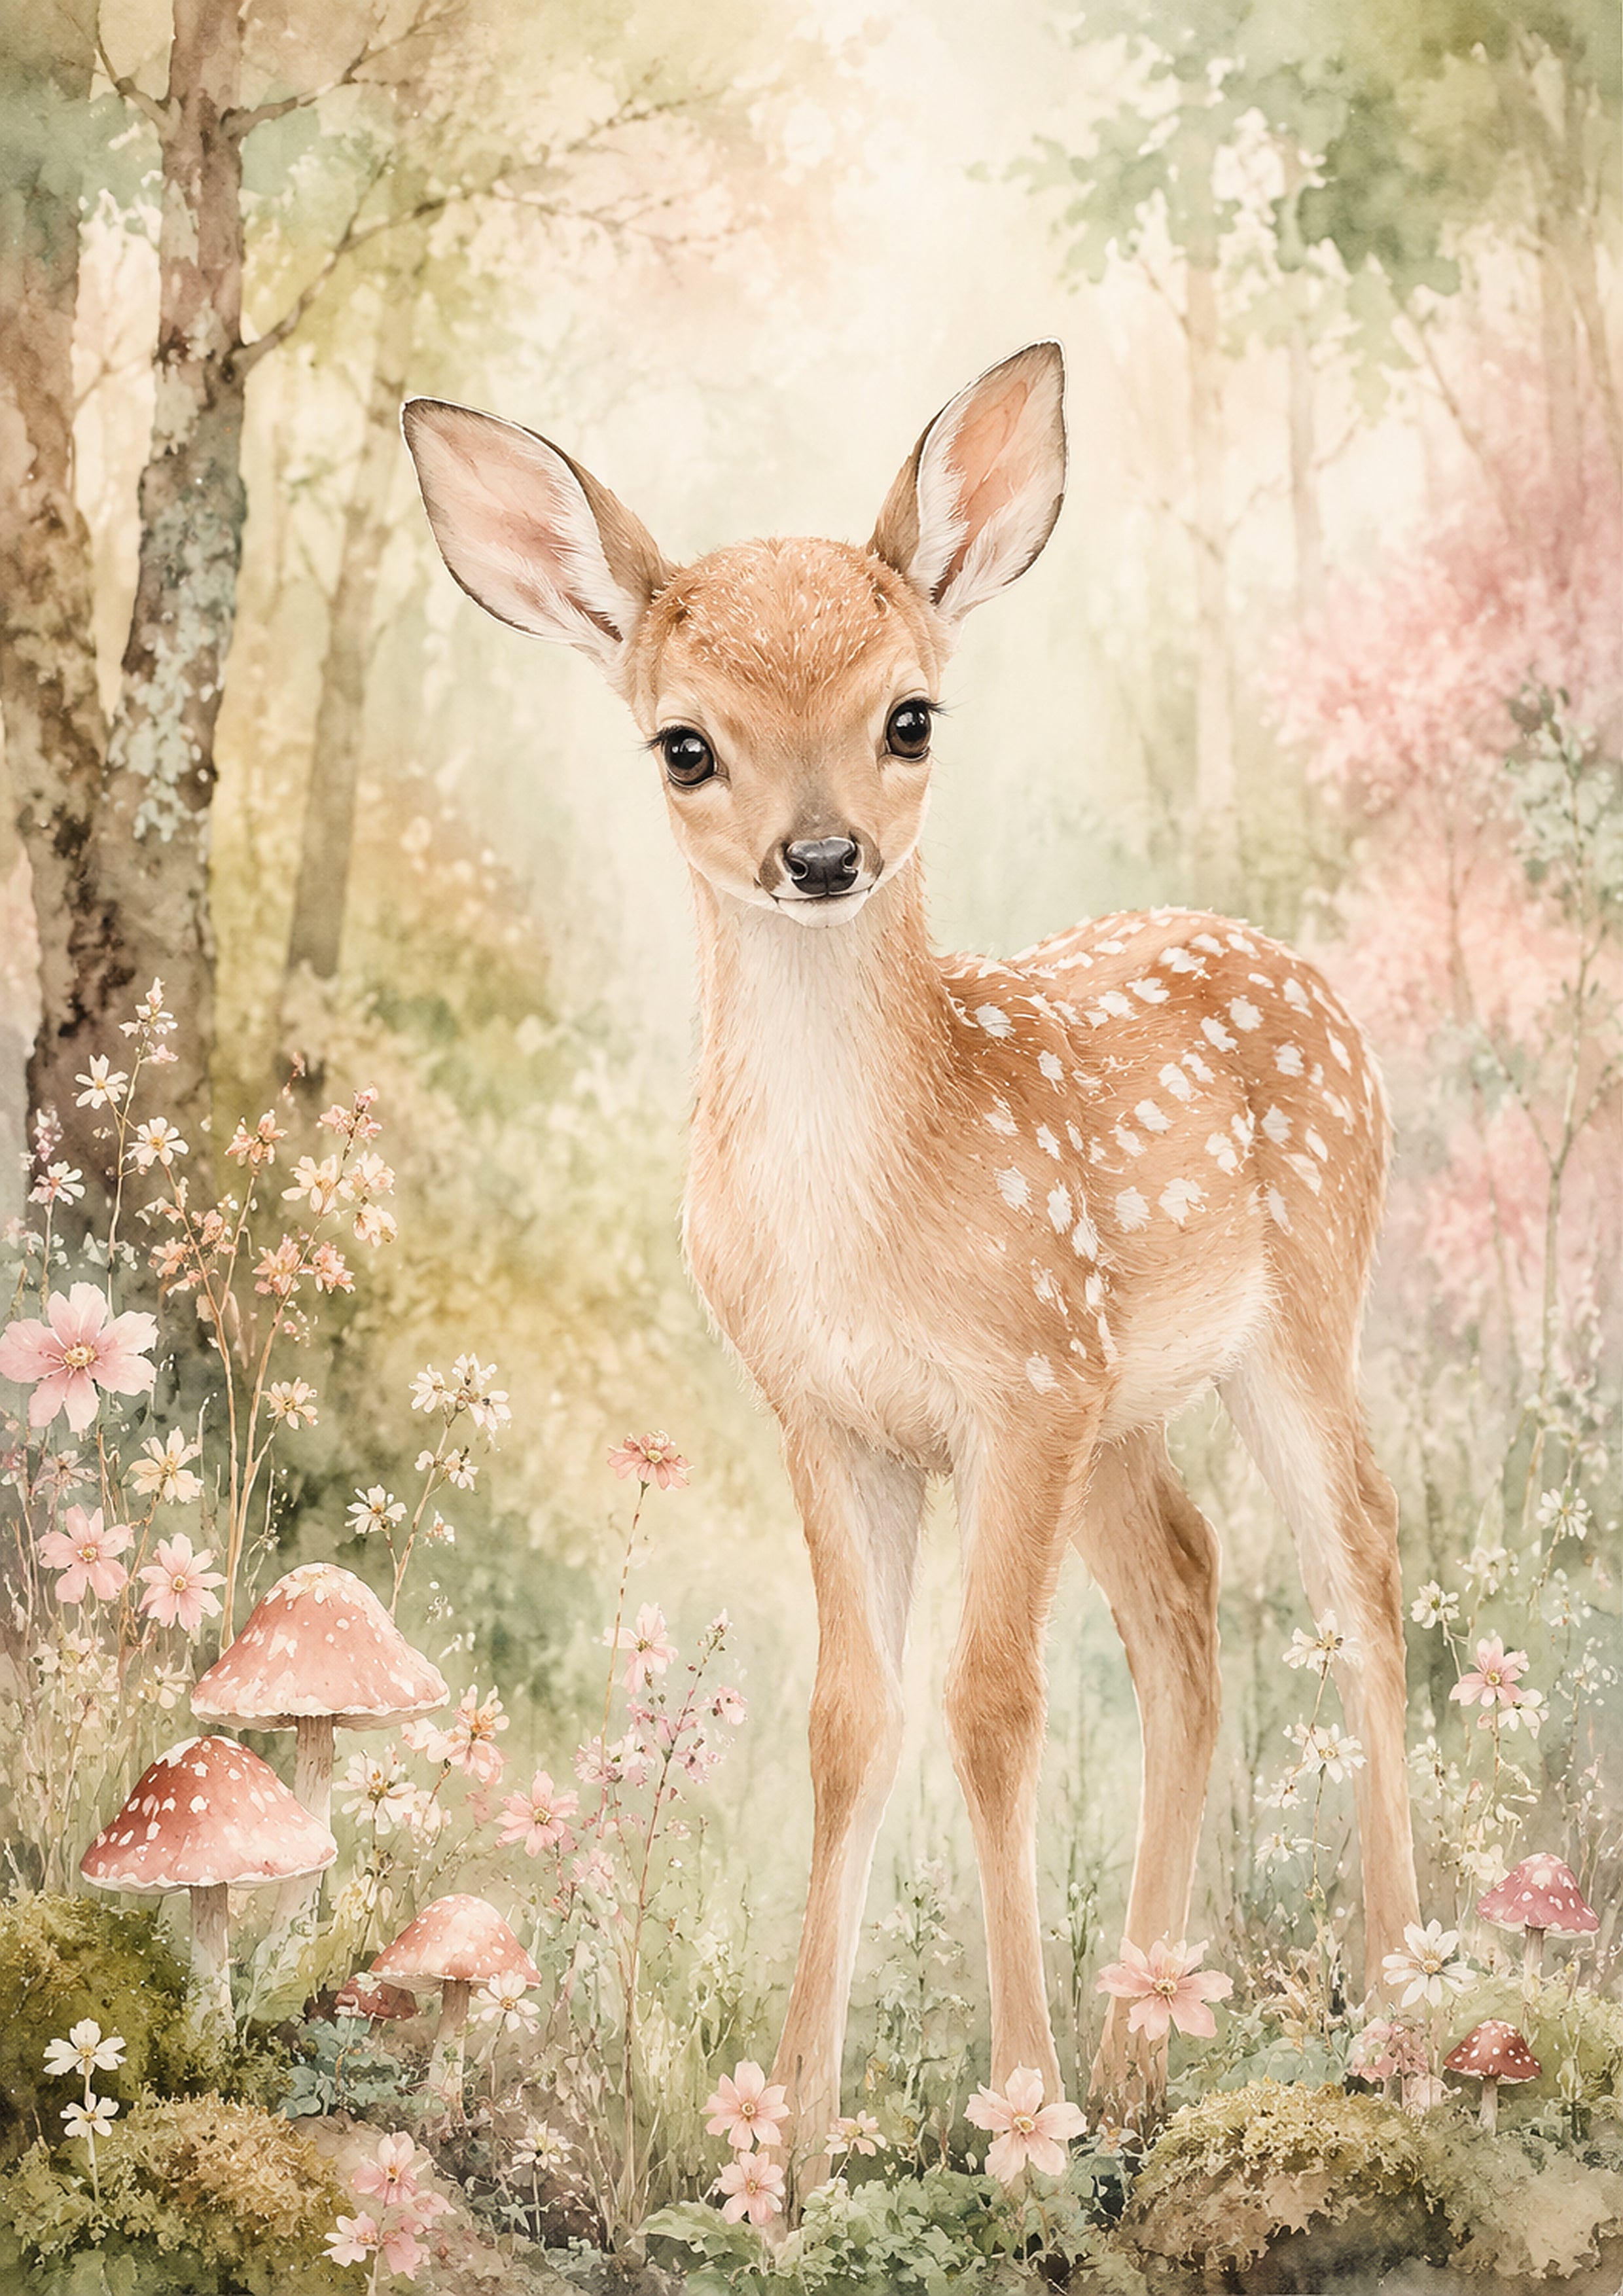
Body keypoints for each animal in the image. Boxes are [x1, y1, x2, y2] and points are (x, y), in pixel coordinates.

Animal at [400, 341, 1420, 2175]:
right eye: (684, 743)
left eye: (908, 716)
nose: (820, 858)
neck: (865, 1220)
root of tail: (1292, 965)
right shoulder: (834, 1415)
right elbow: (848, 1723)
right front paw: (793, 2151)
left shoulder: (1017, 1387)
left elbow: (992, 1705)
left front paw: (1017, 2124)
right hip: (1127, 1400)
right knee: (1185, 1595)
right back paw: (1141, 2055)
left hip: (1297, 1300)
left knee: (1359, 1558)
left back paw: (1401, 2016)